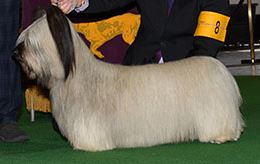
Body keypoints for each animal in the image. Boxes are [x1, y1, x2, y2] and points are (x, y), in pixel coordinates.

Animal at [14, 5, 246, 152]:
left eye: (30, 42)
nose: (15, 53)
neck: (77, 76)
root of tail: (217, 65)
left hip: (214, 111)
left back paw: (221, 136)